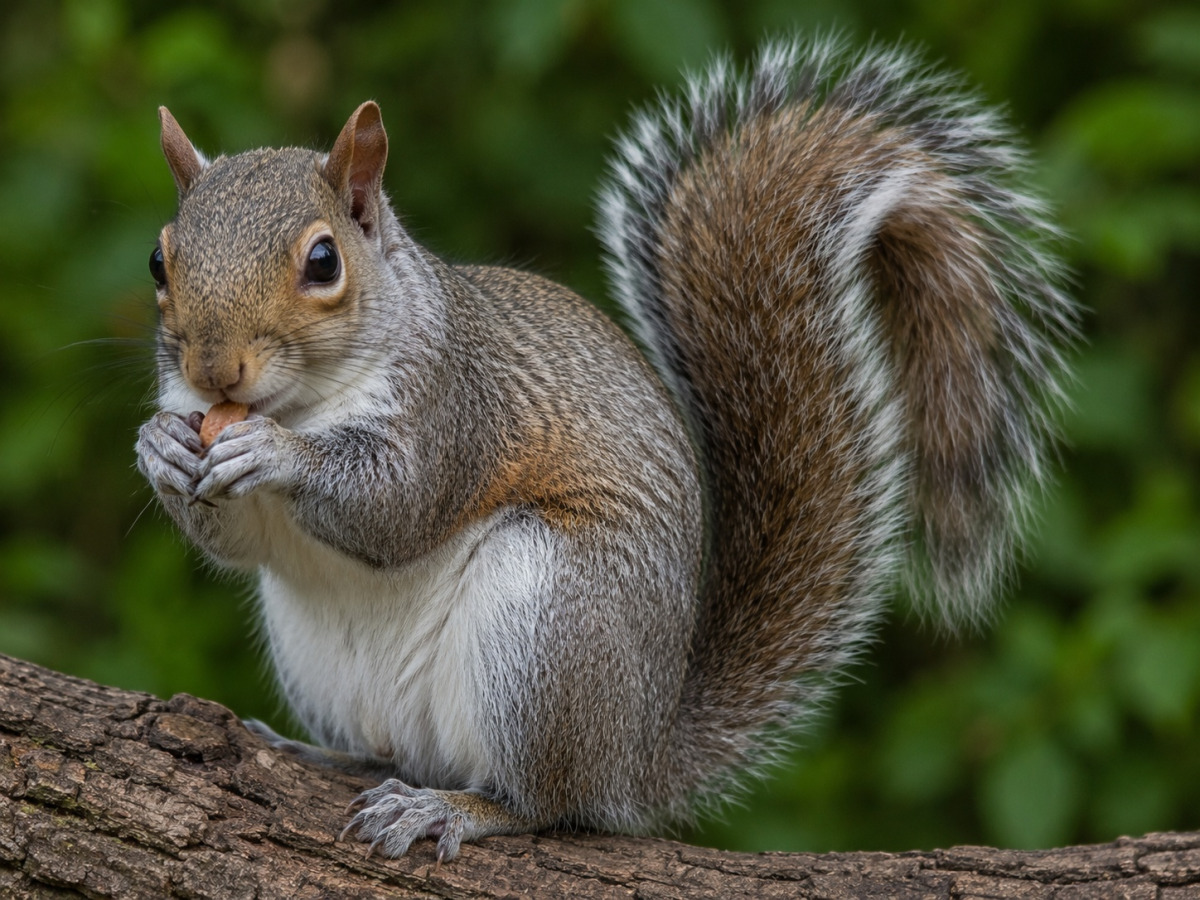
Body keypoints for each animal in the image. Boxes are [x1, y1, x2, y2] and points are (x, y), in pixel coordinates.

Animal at [135, 36, 1076, 861]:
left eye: (324, 262)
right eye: (157, 260)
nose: (215, 370)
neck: (303, 400)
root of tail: (636, 755)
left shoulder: (457, 405)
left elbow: (399, 506)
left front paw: (278, 455)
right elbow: (239, 539)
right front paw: (160, 450)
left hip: (547, 624)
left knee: (545, 803)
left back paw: (456, 809)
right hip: (322, 655)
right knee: (391, 751)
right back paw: (325, 754)